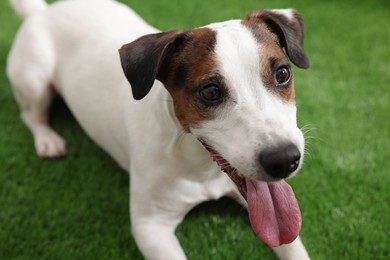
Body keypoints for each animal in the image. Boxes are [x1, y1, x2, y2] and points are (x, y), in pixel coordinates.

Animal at [6, 0, 310, 258]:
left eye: (283, 73)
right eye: (211, 91)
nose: (284, 159)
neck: (201, 167)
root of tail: (41, 12)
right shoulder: (151, 226)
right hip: (34, 80)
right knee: (30, 114)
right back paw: (47, 139)